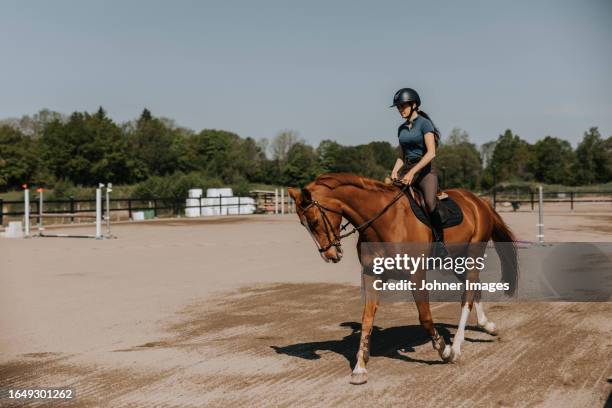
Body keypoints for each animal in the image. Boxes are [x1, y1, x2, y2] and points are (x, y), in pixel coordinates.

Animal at [286, 172, 516, 386]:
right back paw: (487, 326)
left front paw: (444, 351)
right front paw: (360, 368)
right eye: (303, 224)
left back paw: (457, 347)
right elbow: (367, 318)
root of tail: (479, 201)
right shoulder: (371, 274)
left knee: (467, 296)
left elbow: (425, 317)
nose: (330, 255)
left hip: (473, 255)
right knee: (475, 287)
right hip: (457, 260)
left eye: (314, 221)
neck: (383, 221)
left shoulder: (416, 274)